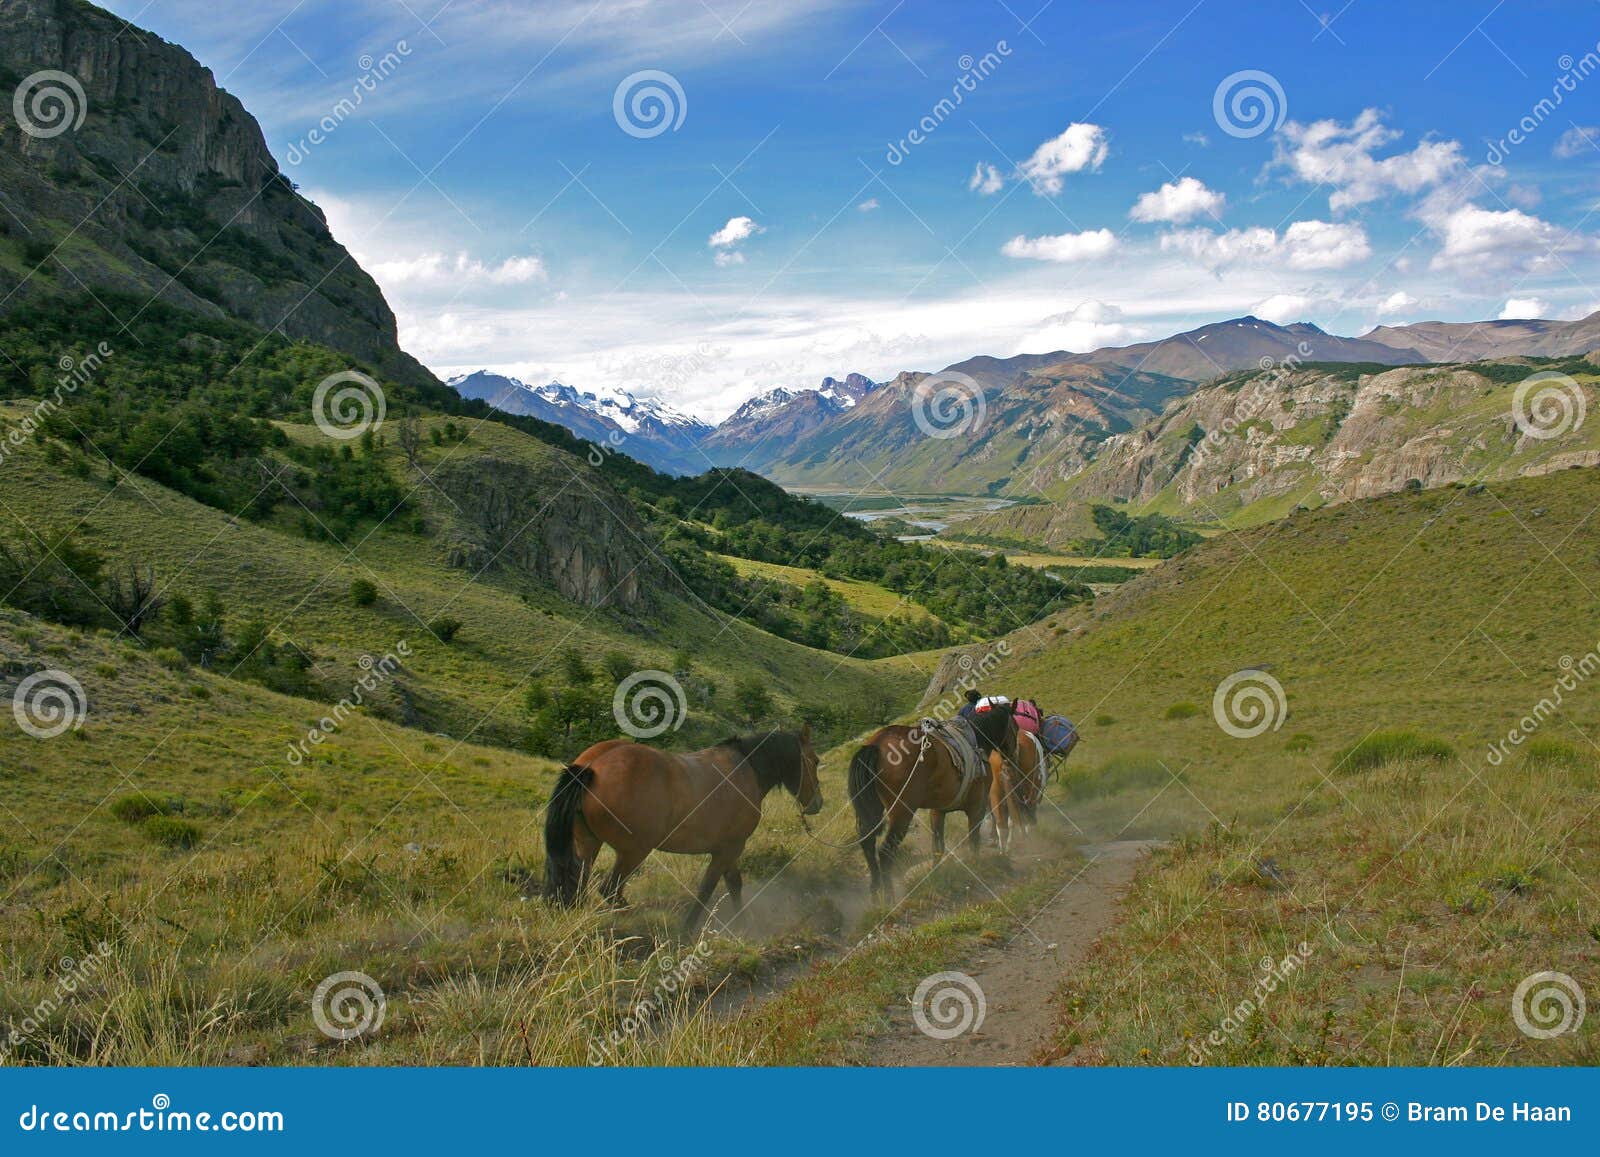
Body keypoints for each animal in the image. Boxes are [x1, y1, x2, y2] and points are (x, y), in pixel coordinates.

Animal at [550, 729, 825, 928]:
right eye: (815, 761)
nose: (817, 803)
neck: (747, 769)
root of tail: (592, 766)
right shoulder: (730, 848)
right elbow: (707, 889)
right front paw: (689, 927)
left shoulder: (727, 849)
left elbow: (734, 884)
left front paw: (742, 921)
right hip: (633, 852)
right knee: (610, 889)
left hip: (588, 844)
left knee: (579, 883)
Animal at [851, 707, 1011, 902]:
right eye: (1015, 725)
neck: (977, 739)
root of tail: (876, 744)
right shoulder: (976, 808)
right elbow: (974, 840)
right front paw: (976, 866)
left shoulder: (937, 811)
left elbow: (937, 848)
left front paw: (936, 876)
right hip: (902, 813)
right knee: (885, 852)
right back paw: (889, 897)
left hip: (873, 811)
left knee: (867, 843)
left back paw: (876, 893)